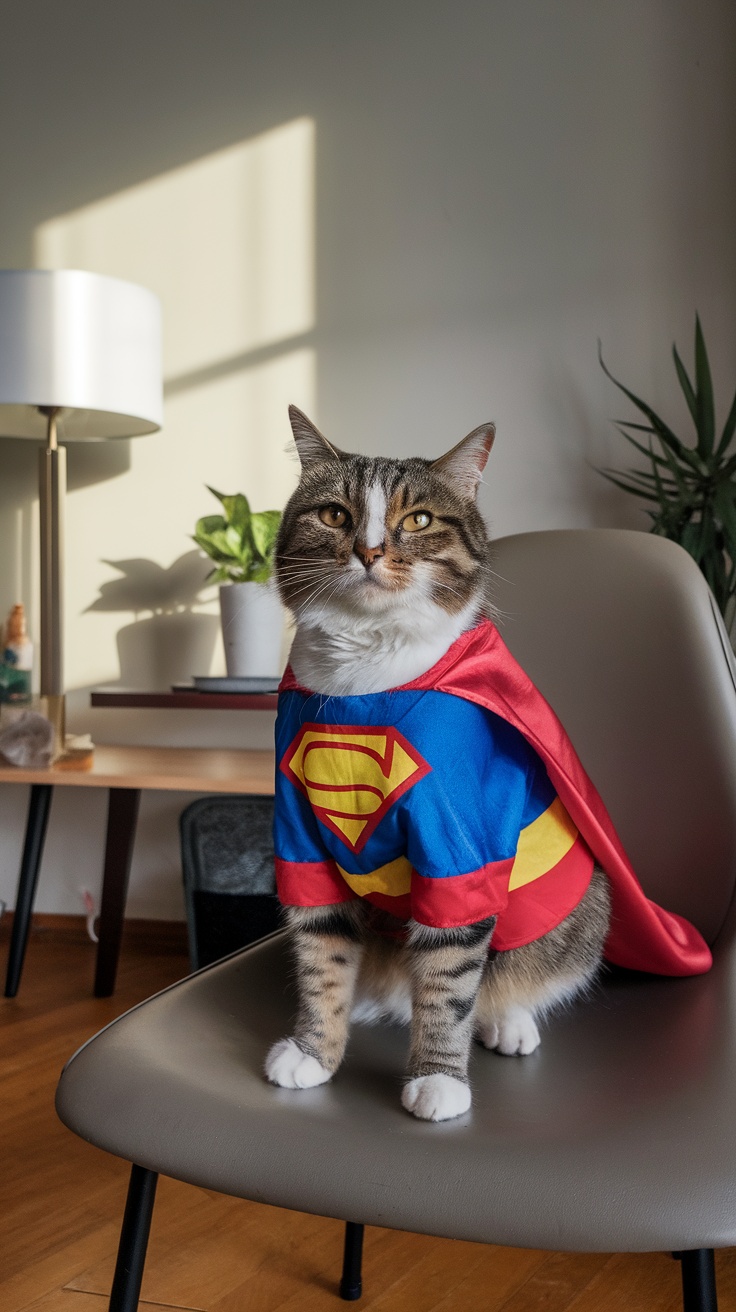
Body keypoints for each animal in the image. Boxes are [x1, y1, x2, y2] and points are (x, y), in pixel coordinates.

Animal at [263, 404, 608, 1123]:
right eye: (333, 514)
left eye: (418, 520)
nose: (369, 551)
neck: (363, 679)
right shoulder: (300, 838)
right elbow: (320, 956)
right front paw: (314, 1051)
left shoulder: (459, 846)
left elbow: (449, 979)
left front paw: (439, 1077)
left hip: (583, 913)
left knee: (505, 980)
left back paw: (507, 1019)